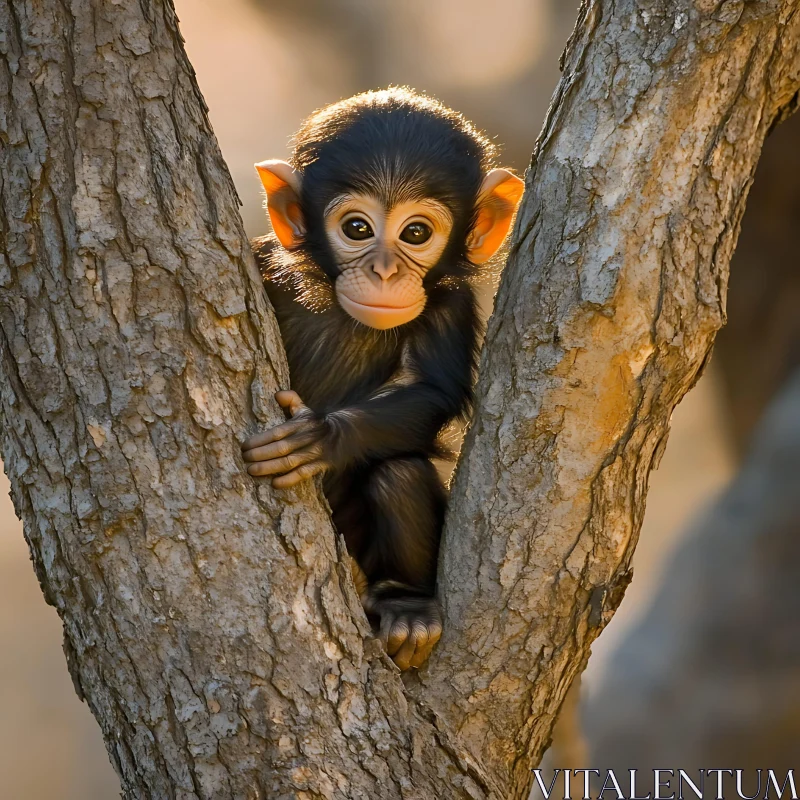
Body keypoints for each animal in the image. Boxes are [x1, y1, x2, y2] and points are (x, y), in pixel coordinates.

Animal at [241, 87, 520, 668]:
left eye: (416, 233)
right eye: (356, 229)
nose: (385, 272)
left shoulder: (452, 306)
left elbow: (429, 391)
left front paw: (319, 439)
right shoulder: (263, 259)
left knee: (399, 475)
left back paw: (405, 605)